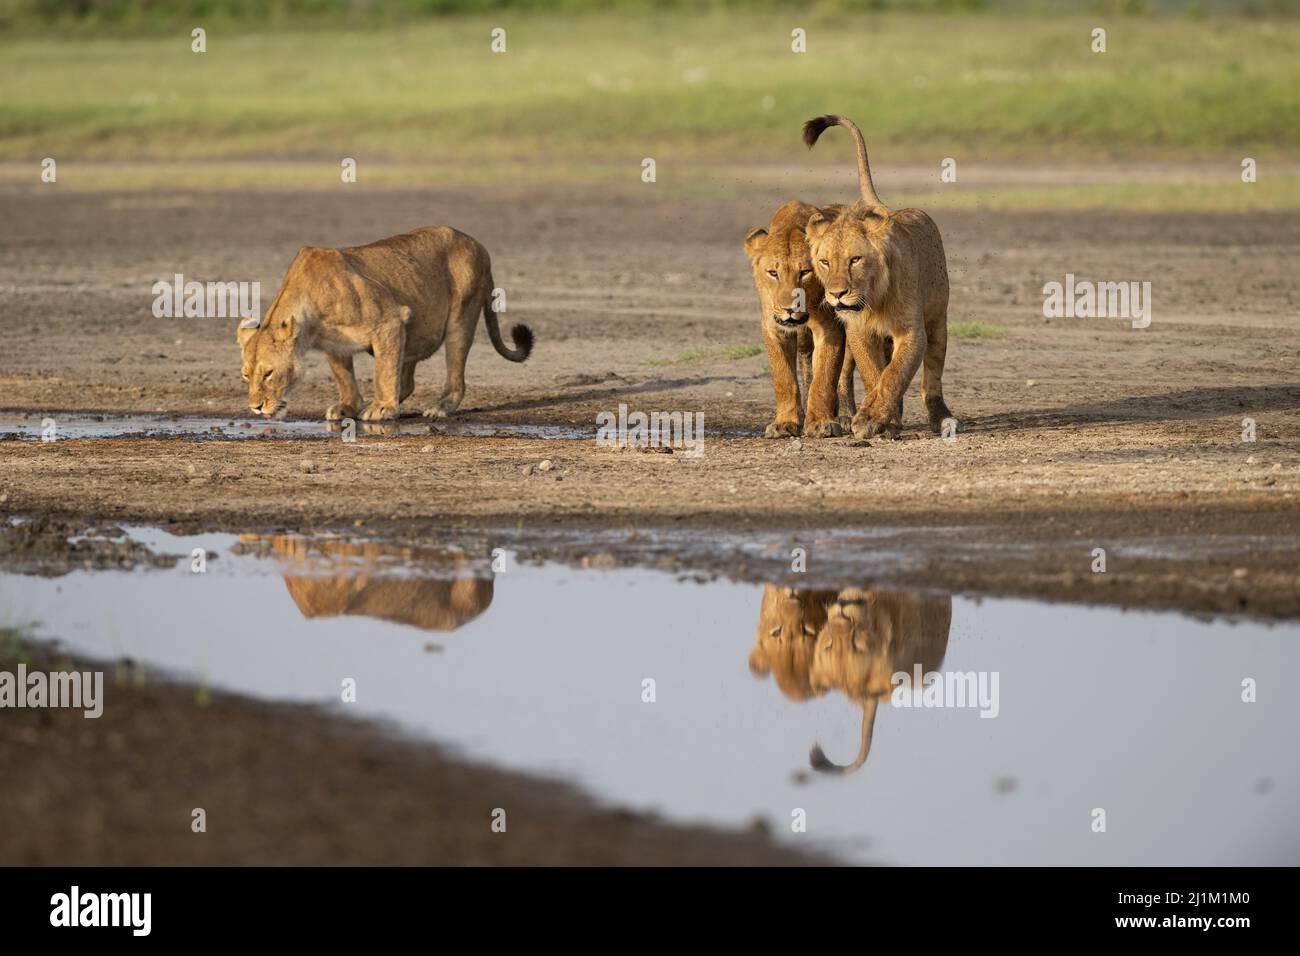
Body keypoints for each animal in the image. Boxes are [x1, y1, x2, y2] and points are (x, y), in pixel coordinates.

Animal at [239, 226, 533, 421]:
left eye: (268, 373)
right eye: (245, 375)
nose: (255, 407)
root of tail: (477, 244)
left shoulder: (390, 320)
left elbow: (383, 371)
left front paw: (382, 408)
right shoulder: (335, 344)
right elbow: (344, 376)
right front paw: (349, 406)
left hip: (460, 316)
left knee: (454, 372)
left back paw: (439, 407)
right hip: (416, 327)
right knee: (408, 378)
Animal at [748, 205, 857, 442]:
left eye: (805, 272)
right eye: (773, 273)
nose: (789, 308)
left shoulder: (829, 328)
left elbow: (825, 376)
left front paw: (821, 423)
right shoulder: (774, 327)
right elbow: (784, 378)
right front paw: (785, 423)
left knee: (844, 372)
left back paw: (846, 416)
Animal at [800, 115, 956, 437]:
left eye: (855, 260)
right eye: (824, 262)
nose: (837, 294)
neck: (874, 298)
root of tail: (891, 212)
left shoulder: (912, 331)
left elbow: (895, 374)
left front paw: (873, 419)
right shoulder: (859, 330)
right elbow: (875, 374)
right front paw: (881, 419)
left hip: (938, 321)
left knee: (932, 376)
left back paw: (941, 417)